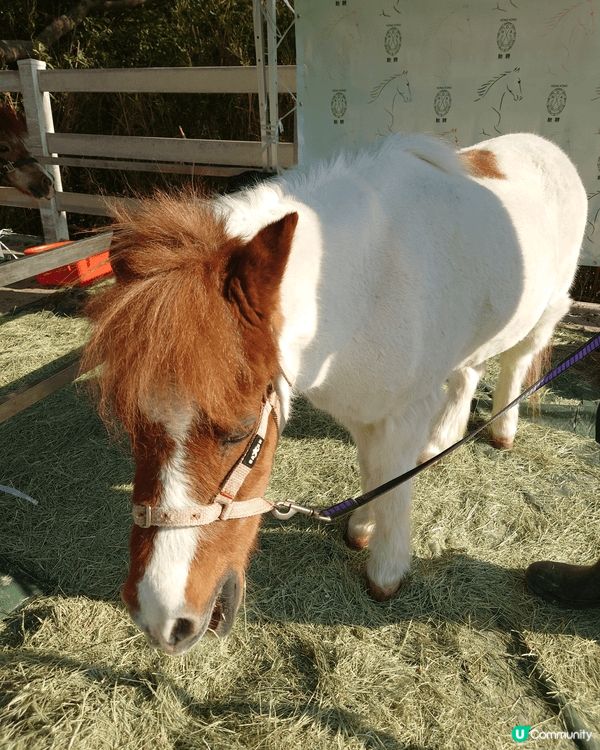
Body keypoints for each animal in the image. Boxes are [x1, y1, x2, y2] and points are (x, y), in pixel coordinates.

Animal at [83, 132, 587, 655]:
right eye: (131, 428)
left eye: (240, 433)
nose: (159, 618)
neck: (365, 287)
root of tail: (543, 144)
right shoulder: (365, 411)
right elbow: (373, 470)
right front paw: (361, 526)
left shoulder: (404, 413)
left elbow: (395, 483)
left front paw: (386, 570)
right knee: (470, 369)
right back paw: (443, 439)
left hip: (547, 310)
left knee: (515, 363)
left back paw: (502, 430)